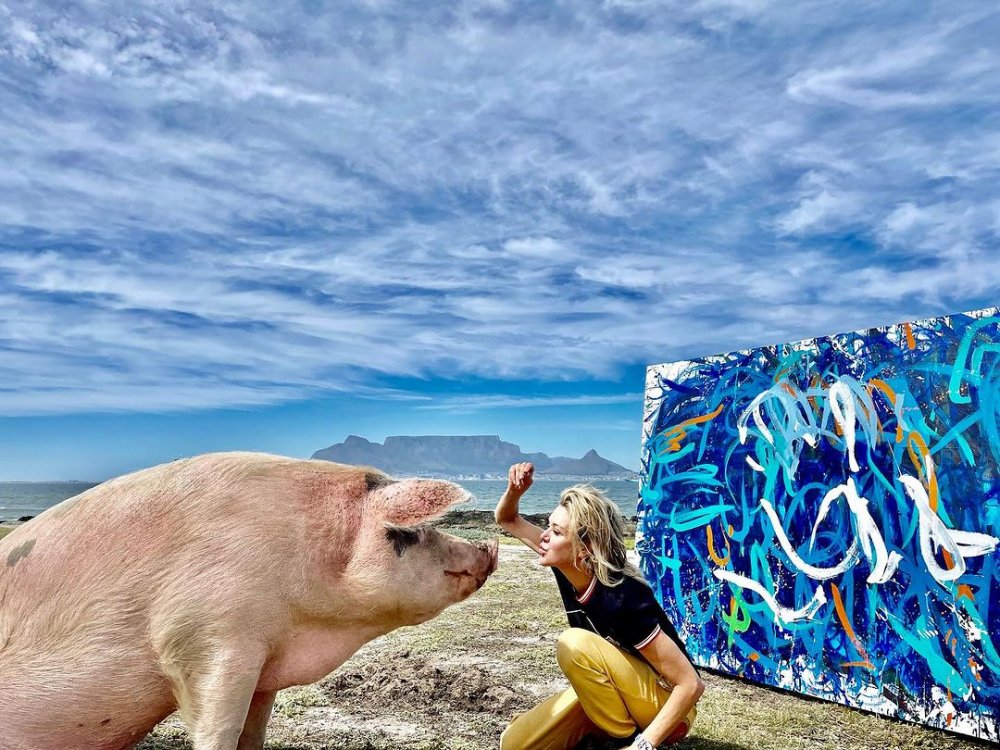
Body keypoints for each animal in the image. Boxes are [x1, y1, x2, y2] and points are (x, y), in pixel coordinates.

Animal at [0, 452, 498, 750]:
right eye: (411, 531)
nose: (489, 549)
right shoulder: (209, 631)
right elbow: (217, 727)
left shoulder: (266, 665)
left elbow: (252, 734)